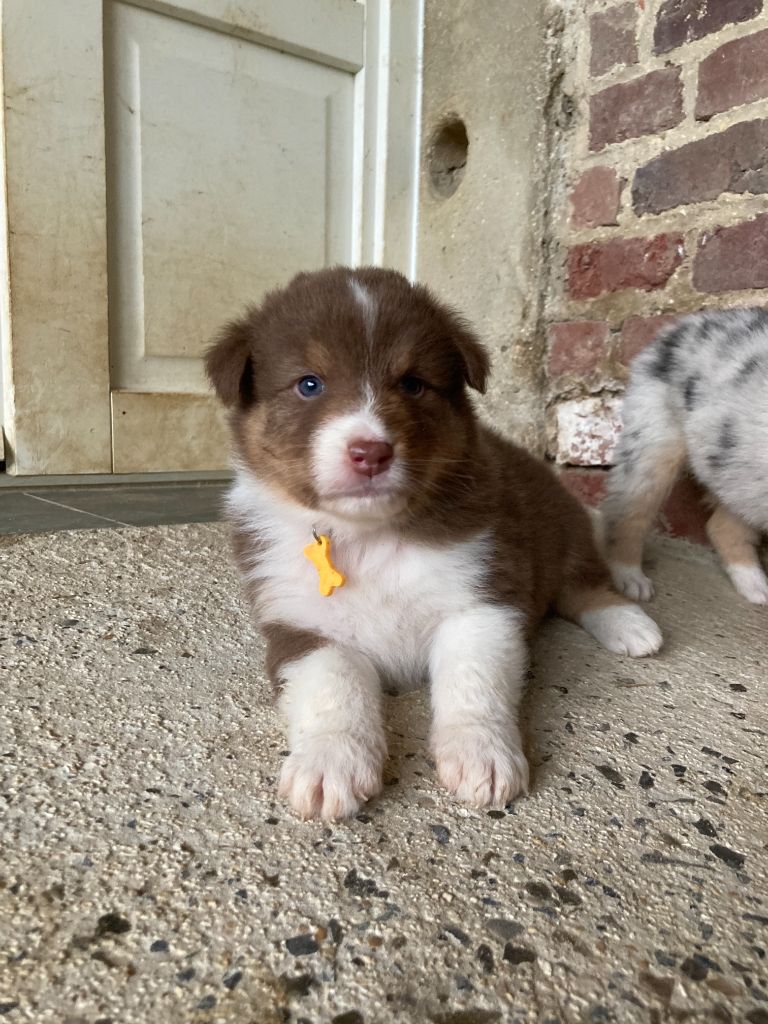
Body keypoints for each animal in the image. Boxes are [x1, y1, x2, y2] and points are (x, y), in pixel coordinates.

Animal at [206, 266, 662, 821]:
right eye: (309, 384)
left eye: (412, 383)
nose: (370, 452)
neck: (370, 535)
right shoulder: (300, 626)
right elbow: (333, 686)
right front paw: (330, 764)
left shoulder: (482, 598)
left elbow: (473, 681)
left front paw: (482, 754)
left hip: (563, 528)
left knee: (583, 584)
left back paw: (631, 624)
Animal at [604, 308, 768, 605]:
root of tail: (678, 326)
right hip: (653, 445)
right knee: (626, 514)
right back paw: (629, 578)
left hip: (739, 474)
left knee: (721, 527)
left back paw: (755, 586)